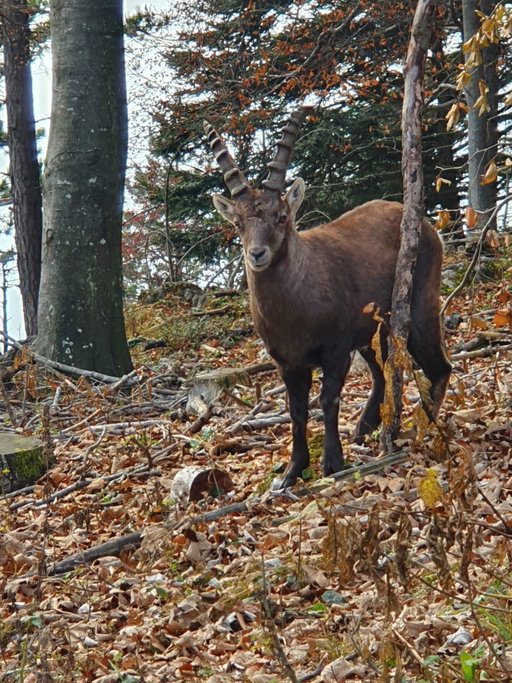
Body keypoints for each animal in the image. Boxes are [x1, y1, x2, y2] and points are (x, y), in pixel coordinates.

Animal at [204, 108, 452, 488]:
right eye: (238, 224)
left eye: (282, 216)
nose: (257, 254)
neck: (295, 308)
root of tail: (425, 225)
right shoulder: (287, 362)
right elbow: (296, 410)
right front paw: (292, 471)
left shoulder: (334, 352)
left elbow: (328, 399)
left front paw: (332, 463)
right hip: (371, 332)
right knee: (382, 373)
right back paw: (365, 428)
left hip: (419, 304)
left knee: (439, 366)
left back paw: (419, 429)